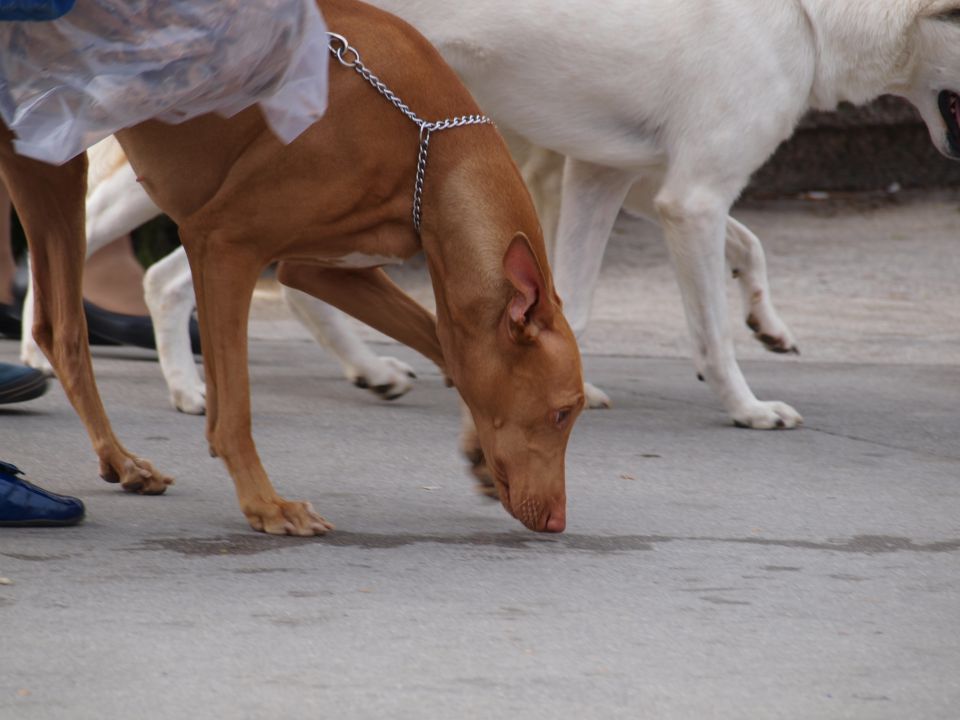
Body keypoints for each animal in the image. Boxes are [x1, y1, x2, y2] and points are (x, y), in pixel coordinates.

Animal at [0, 0, 584, 536]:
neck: (425, 144)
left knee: (57, 329)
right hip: (52, 154)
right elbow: (235, 411)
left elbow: (444, 345)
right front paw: (265, 505)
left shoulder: (322, 269)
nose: (558, 521)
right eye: (561, 413)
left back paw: (120, 461)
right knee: (66, 328)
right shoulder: (223, 244)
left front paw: (476, 447)